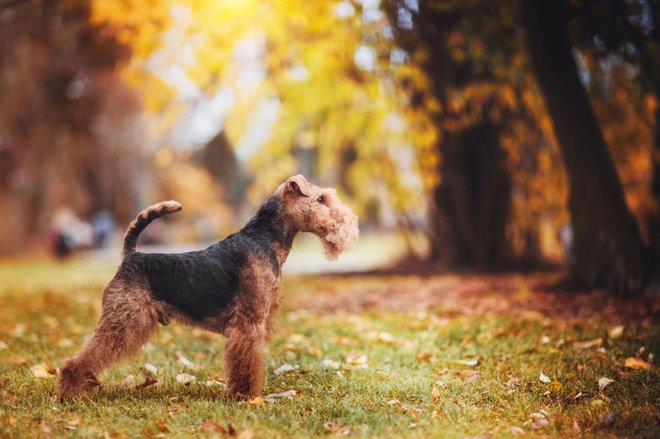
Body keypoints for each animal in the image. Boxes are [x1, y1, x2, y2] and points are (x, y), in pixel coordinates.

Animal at [57, 175, 358, 398]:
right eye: (321, 199)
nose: (350, 225)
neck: (262, 240)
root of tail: (130, 256)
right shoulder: (248, 323)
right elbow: (248, 362)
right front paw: (247, 396)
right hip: (124, 319)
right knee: (82, 356)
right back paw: (71, 391)